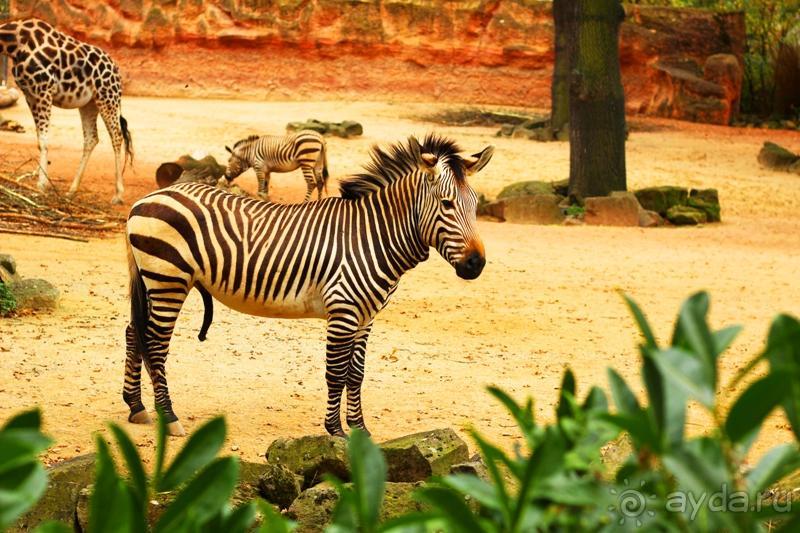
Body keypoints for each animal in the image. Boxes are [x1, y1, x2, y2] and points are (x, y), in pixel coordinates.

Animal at [0, 18, 133, 204]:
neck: (14, 43)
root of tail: (116, 70)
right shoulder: (30, 95)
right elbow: (39, 140)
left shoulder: (44, 91)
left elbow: (44, 141)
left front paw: (41, 186)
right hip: (89, 103)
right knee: (92, 138)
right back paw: (72, 190)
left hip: (107, 98)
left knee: (117, 136)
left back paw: (118, 194)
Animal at [123, 133, 494, 436]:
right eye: (447, 204)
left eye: (475, 206)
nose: (476, 265)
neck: (373, 235)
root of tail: (148, 197)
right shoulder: (344, 310)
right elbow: (336, 372)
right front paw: (336, 431)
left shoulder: (366, 316)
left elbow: (356, 373)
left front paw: (360, 430)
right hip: (169, 279)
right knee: (154, 343)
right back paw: (169, 417)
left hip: (156, 280)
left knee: (133, 332)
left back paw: (137, 407)